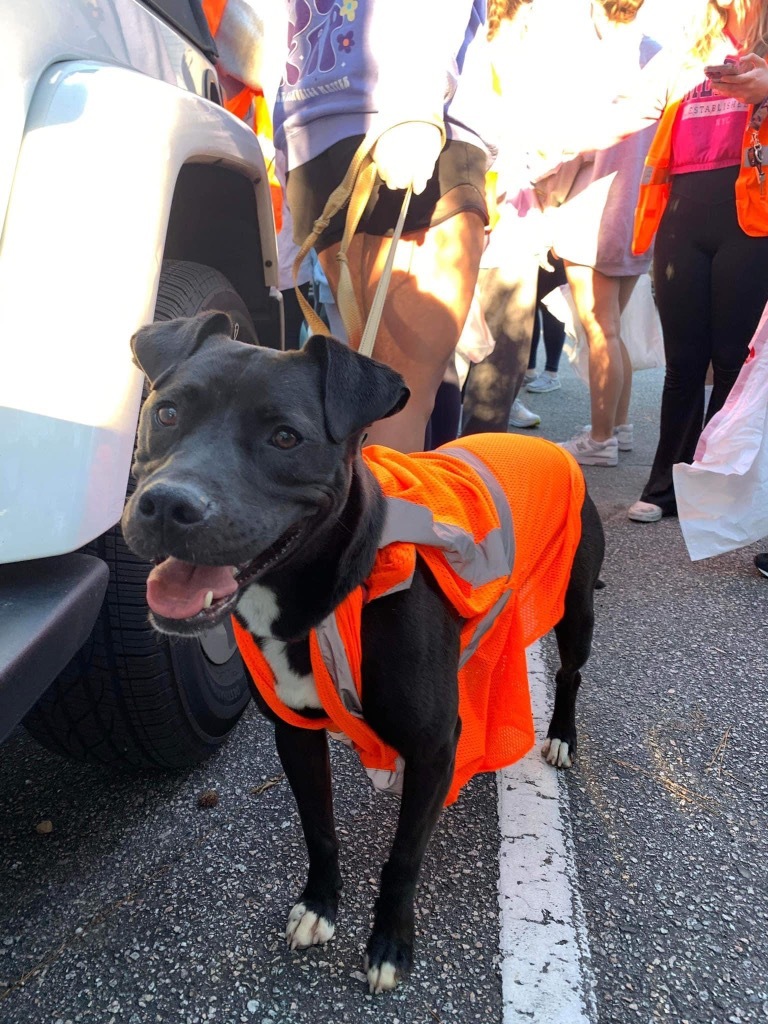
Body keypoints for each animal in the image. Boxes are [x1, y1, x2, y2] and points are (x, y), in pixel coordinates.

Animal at [123, 311, 606, 991]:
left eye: (285, 437)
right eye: (165, 413)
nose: (168, 504)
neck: (329, 596)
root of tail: (551, 447)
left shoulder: (434, 748)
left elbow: (404, 856)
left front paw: (389, 943)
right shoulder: (296, 734)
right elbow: (318, 830)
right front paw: (319, 906)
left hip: (577, 608)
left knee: (570, 673)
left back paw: (561, 735)